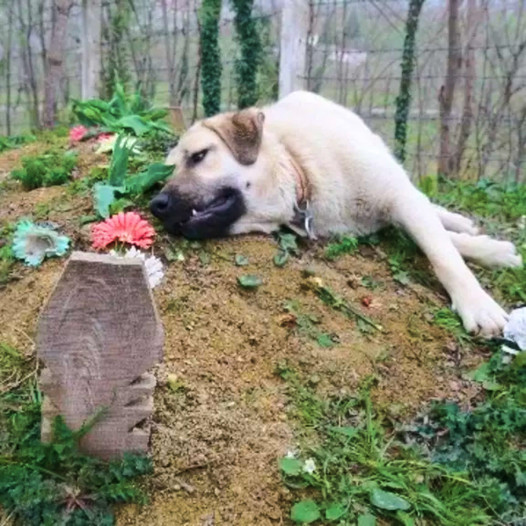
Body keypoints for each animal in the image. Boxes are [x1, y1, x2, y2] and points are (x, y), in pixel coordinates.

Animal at [151, 91, 524, 338]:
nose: (157, 205)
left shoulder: (398, 199)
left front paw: (478, 301)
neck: (300, 169)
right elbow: (442, 242)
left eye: (199, 156)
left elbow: (443, 253)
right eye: (164, 176)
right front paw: (489, 251)